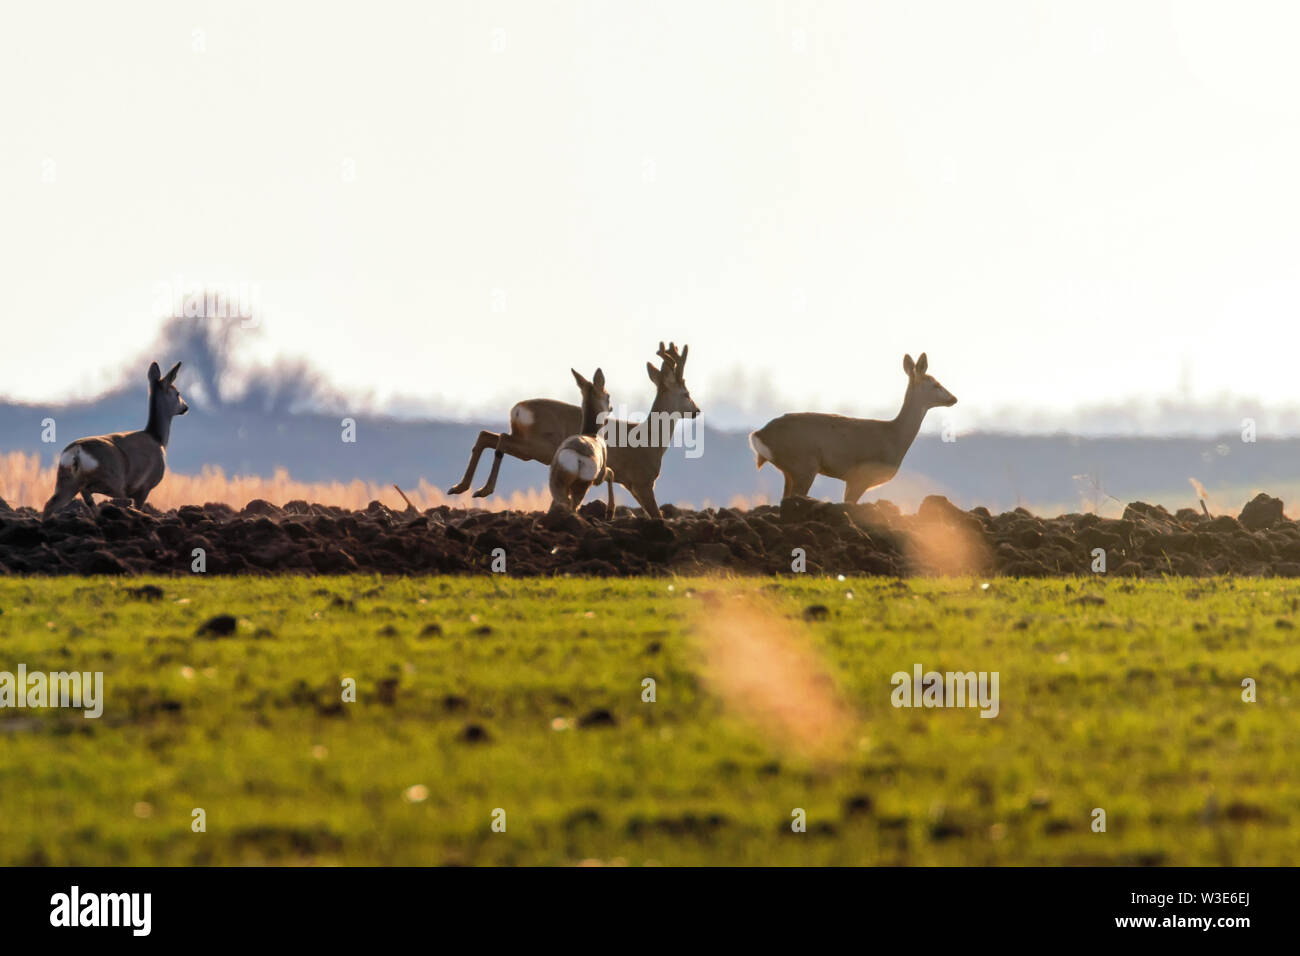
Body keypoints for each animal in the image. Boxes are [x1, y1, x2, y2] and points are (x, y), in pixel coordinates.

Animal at [43, 361, 189, 516]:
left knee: (51, 504)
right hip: (110, 479)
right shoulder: (143, 488)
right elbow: (136, 506)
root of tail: (76, 452)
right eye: (177, 393)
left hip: (64, 480)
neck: (157, 438)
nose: (185, 407)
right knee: (87, 492)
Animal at [548, 367, 616, 516]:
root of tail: (572, 455)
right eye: (608, 395)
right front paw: (610, 512)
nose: (611, 408)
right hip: (582, 486)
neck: (593, 434)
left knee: (561, 502)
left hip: (557, 485)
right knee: (573, 506)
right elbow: (611, 473)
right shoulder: (600, 476)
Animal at [749, 352, 956, 503]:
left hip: (791, 470)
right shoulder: (861, 475)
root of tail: (759, 434)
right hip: (803, 464)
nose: (954, 398)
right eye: (936, 384)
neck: (894, 438)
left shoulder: (850, 480)